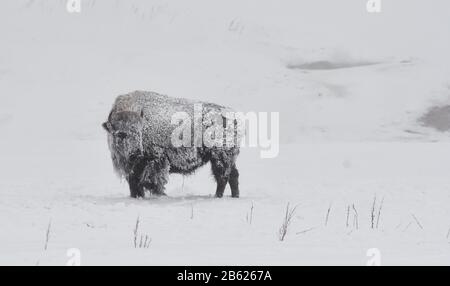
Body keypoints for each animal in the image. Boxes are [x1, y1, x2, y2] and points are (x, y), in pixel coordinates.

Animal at [102, 90, 243, 198]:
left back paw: (217, 196)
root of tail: (233, 116)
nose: (135, 153)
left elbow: (151, 181)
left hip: (219, 157)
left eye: (139, 132)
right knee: (233, 175)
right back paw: (234, 196)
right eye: (120, 134)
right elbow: (134, 185)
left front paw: (159, 194)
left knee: (223, 176)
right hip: (225, 158)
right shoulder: (131, 169)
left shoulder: (156, 161)